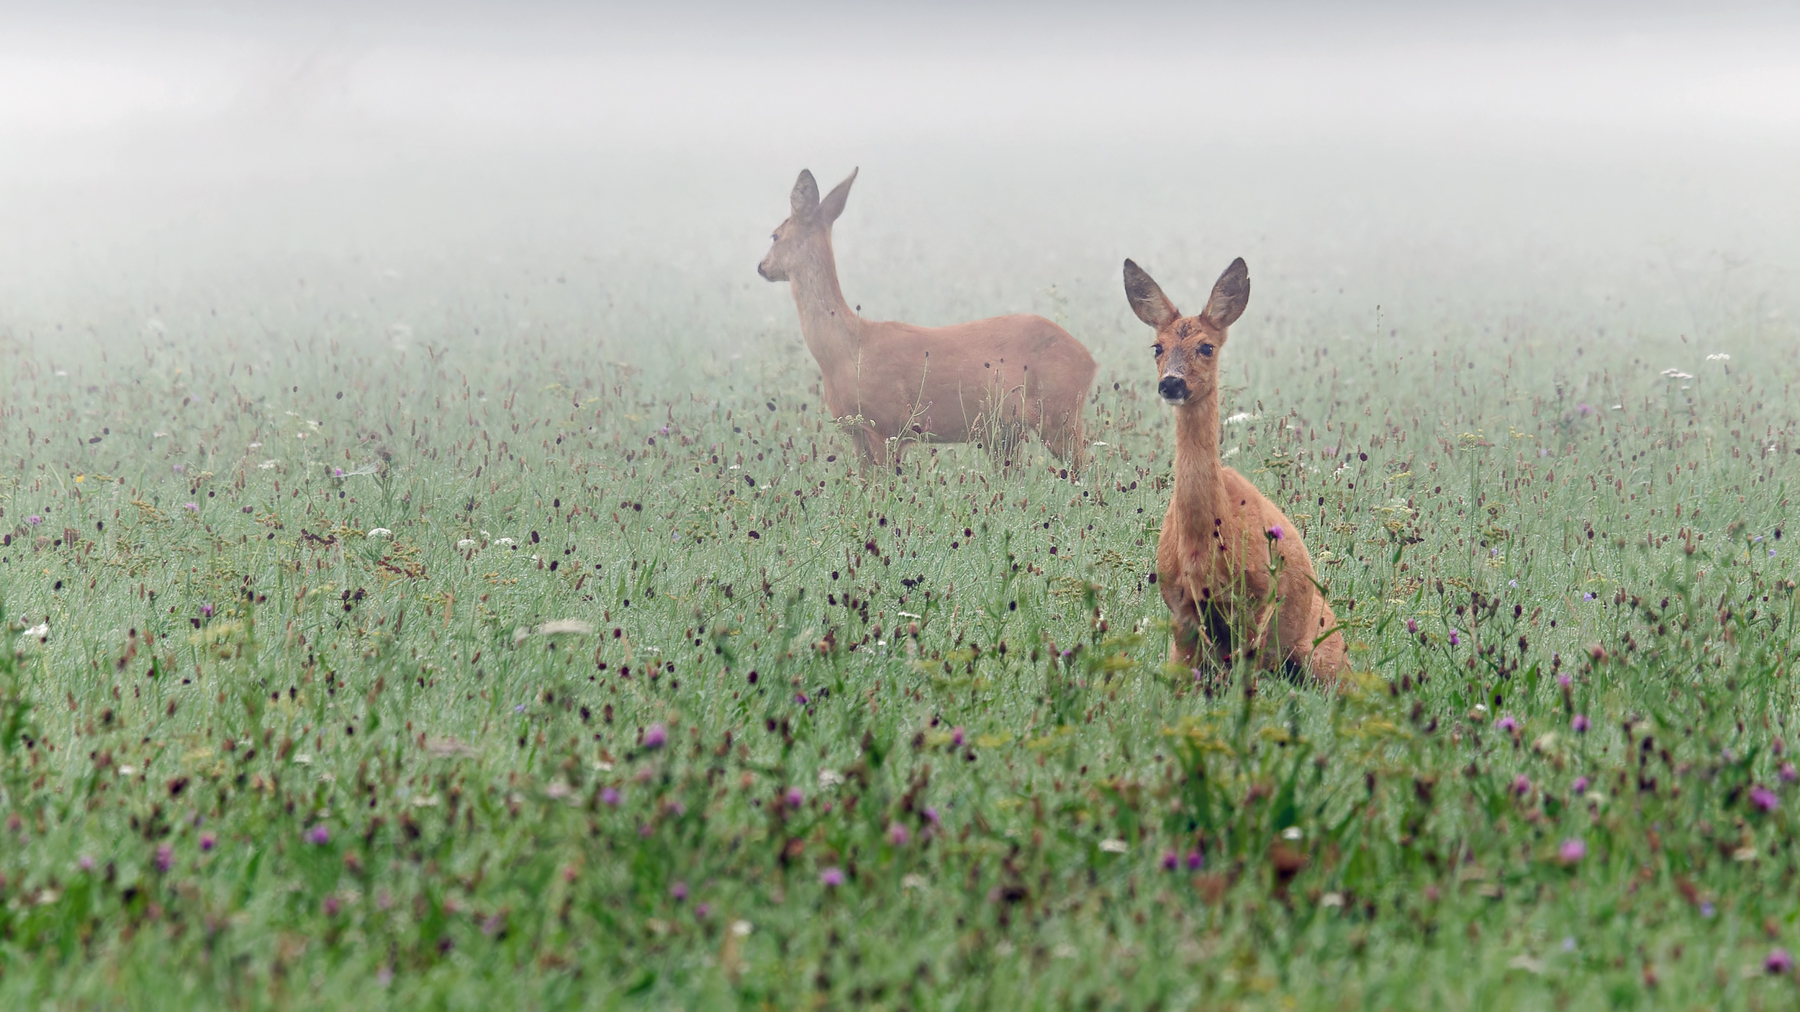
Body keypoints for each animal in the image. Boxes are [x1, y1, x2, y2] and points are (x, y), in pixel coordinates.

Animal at [759, 170, 1094, 468]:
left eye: (774, 235)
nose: (762, 266)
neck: (847, 347)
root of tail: (1090, 361)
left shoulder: (885, 424)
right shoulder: (859, 434)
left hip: (1059, 414)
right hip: (1007, 432)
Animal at [1123, 253, 1353, 677]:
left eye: (1207, 346)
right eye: (1157, 346)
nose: (1171, 383)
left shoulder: (1259, 599)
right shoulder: (1180, 608)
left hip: (1324, 656)